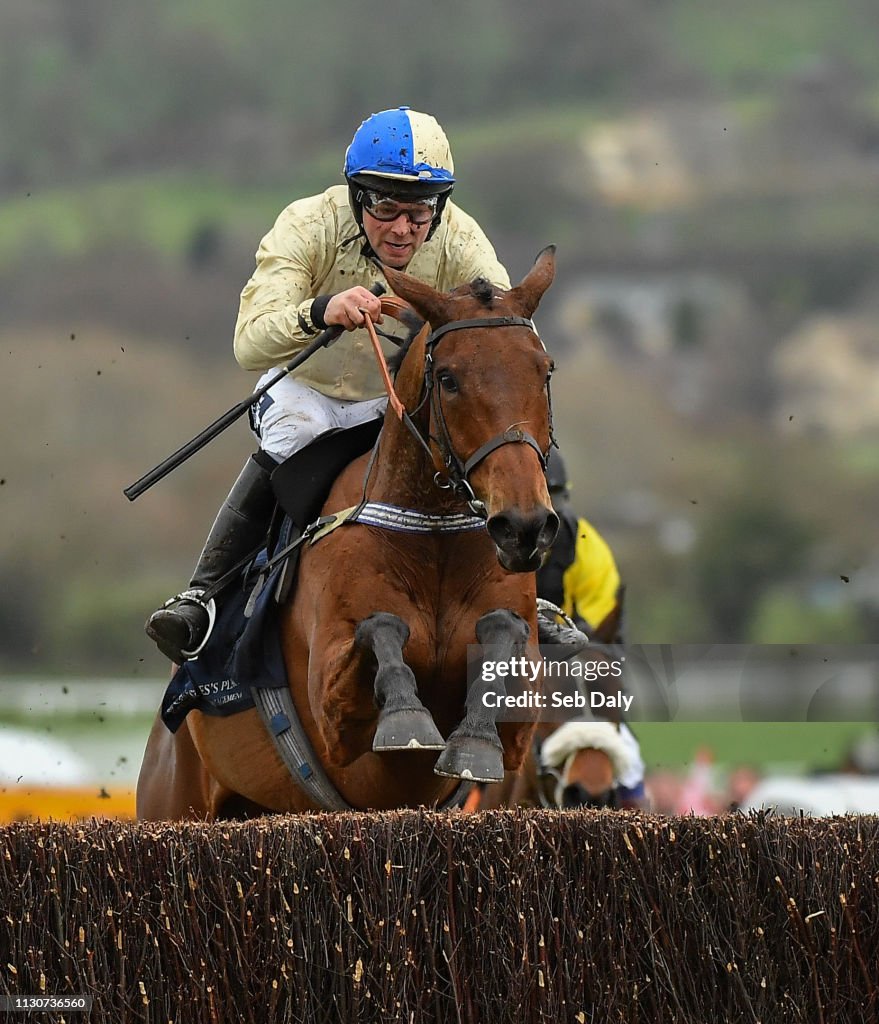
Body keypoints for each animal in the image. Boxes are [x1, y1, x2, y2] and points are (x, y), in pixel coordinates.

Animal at [139, 245, 557, 815]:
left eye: (545, 372)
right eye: (448, 379)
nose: (524, 526)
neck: (434, 541)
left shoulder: (521, 721)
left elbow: (503, 634)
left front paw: (473, 742)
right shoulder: (333, 711)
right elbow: (379, 628)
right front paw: (406, 717)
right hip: (173, 799)